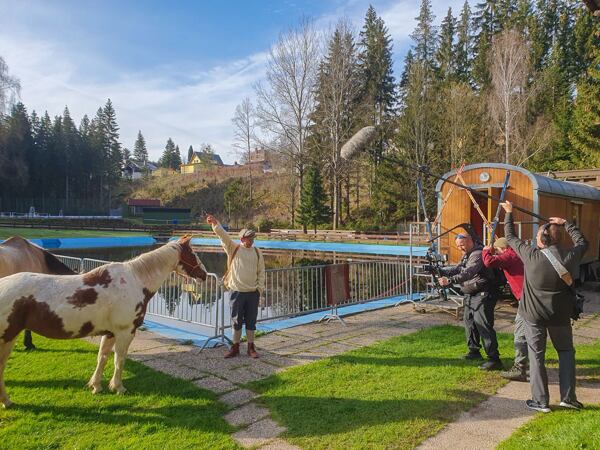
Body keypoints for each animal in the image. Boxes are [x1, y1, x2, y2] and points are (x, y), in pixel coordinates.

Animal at [0, 236, 205, 408]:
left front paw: (96, 386)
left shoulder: (110, 333)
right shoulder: (125, 332)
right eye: (192, 253)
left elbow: (103, 357)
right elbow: (119, 359)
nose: (203, 274)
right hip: (6, 338)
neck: (135, 280)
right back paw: (7, 401)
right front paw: (118, 387)